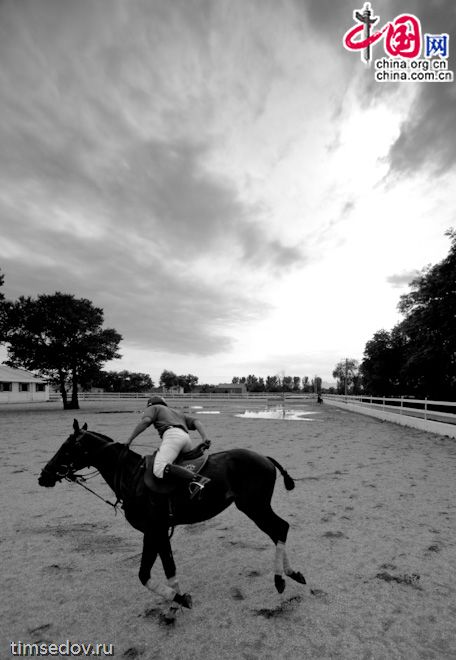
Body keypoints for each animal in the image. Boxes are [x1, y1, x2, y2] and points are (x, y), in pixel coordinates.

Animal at [37, 420, 304, 620]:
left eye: (66, 447)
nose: (43, 476)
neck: (131, 477)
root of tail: (266, 458)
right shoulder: (158, 531)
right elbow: (166, 568)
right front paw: (176, 602)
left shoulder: (154, 529)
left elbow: (145, 573)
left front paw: (178, 600)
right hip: (255, 506)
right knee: (278, 530)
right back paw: (292, 573)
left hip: (254, 506)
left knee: (280, 528)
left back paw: (280, 579)